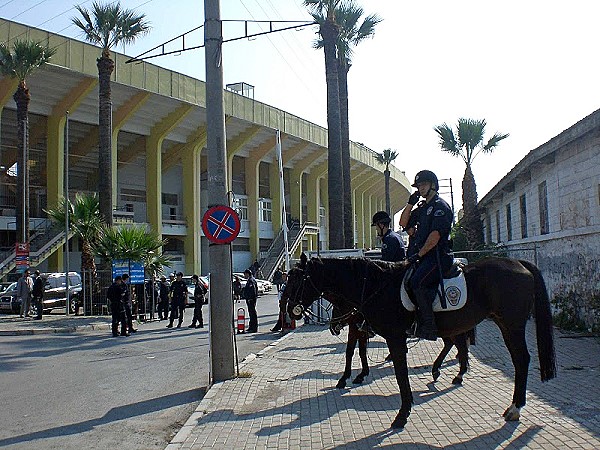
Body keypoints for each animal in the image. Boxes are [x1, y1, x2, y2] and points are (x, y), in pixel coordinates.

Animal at [284, 253, 556, 428]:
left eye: (298, 280)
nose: (289, 309)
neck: (375, 286)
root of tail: (519, 264)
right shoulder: (364, 329)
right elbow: (357, 352)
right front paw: (354, 377)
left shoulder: (393, 337)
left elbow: (398, 373)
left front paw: (402, 414)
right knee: (461, 345)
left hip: (511, 325)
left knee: (520, 359)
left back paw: (514, 407)